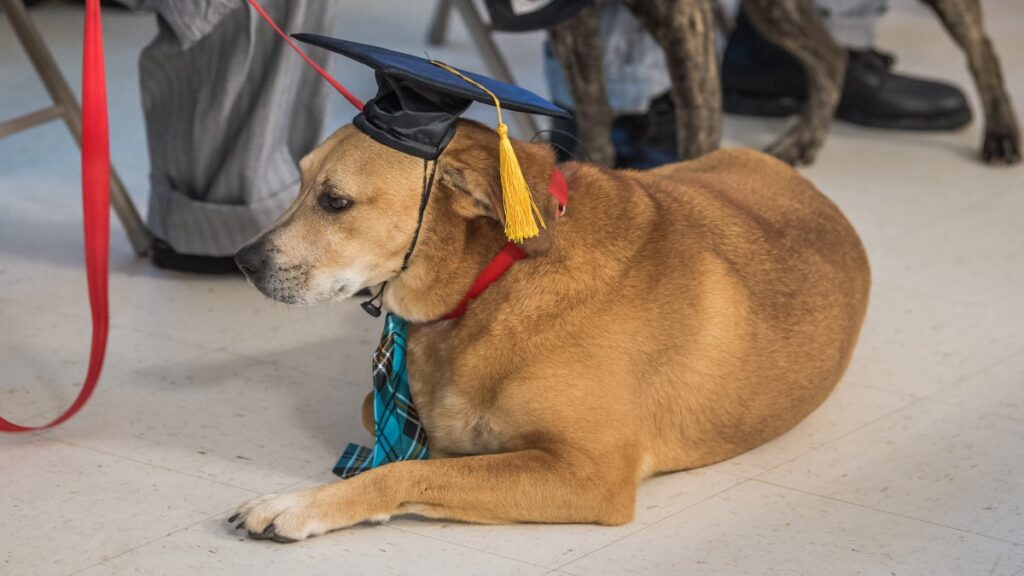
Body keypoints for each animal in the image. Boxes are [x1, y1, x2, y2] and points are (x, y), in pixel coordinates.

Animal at [234, 118, 872, 541]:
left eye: (335, 202)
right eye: (297, 183)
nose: (242, 260)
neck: (495, 281)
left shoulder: (589, 474)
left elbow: (405, 469)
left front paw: (299, 504)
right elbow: (392, 424)